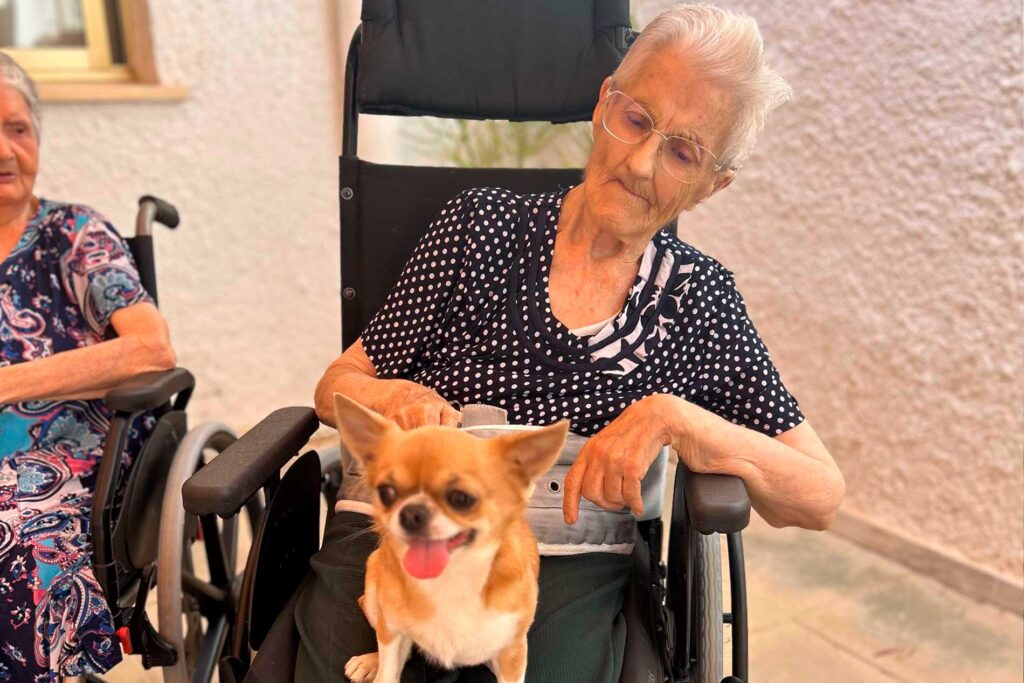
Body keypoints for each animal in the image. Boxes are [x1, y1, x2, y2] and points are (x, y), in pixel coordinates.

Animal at [331, 393, 569, 683]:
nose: (411, 513)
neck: (449, 578)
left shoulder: (511, 651)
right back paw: (370, 661)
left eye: (461, 499)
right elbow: (388, 671)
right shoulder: (392, 632)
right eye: (386, 492)